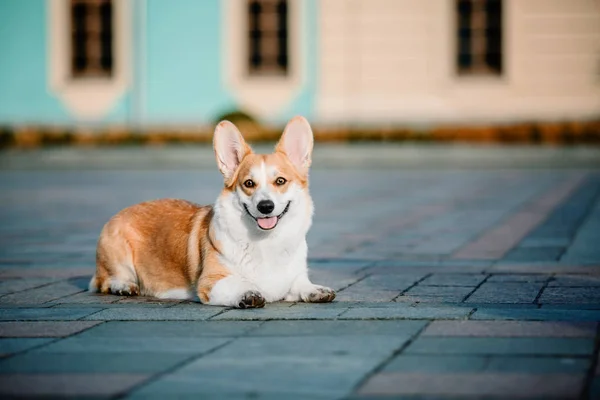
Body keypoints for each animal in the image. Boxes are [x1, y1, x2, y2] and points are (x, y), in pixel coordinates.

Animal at [89, 115, 336, 310]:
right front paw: (247, 294)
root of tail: (123, 210)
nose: (265, 206)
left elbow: (301, 284)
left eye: (281, 181)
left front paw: (317, 290)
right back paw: (124, 286)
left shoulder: (293, 278)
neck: (266, 241)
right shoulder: (212, 281)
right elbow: (240, 283)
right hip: (118, 253)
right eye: (248, 183)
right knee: (105, 280)